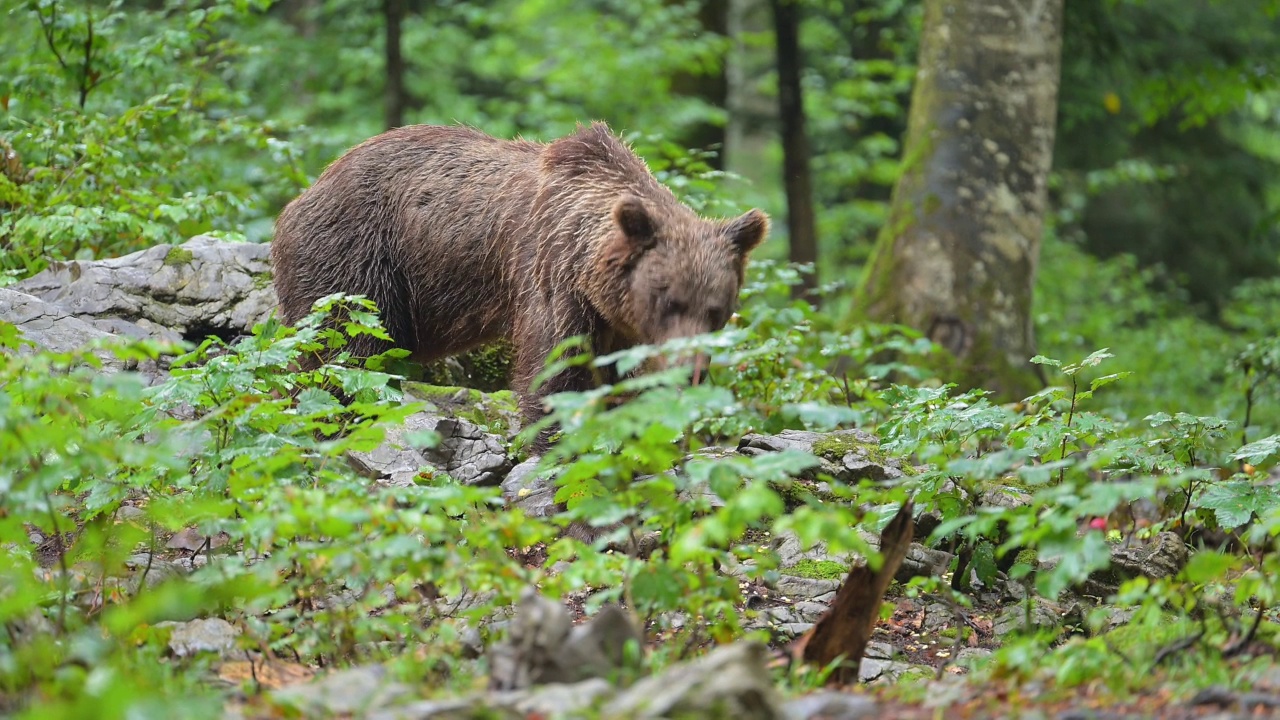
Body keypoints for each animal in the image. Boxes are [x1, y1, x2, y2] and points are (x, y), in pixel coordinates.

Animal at [271, 121, 768, 445]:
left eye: (717, 310)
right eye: (669, 301)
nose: (691, 369)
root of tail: (303, 194)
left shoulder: (619, 326)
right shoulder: (553, 278)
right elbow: (554, 374)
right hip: (360, 261)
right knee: (346, 354)